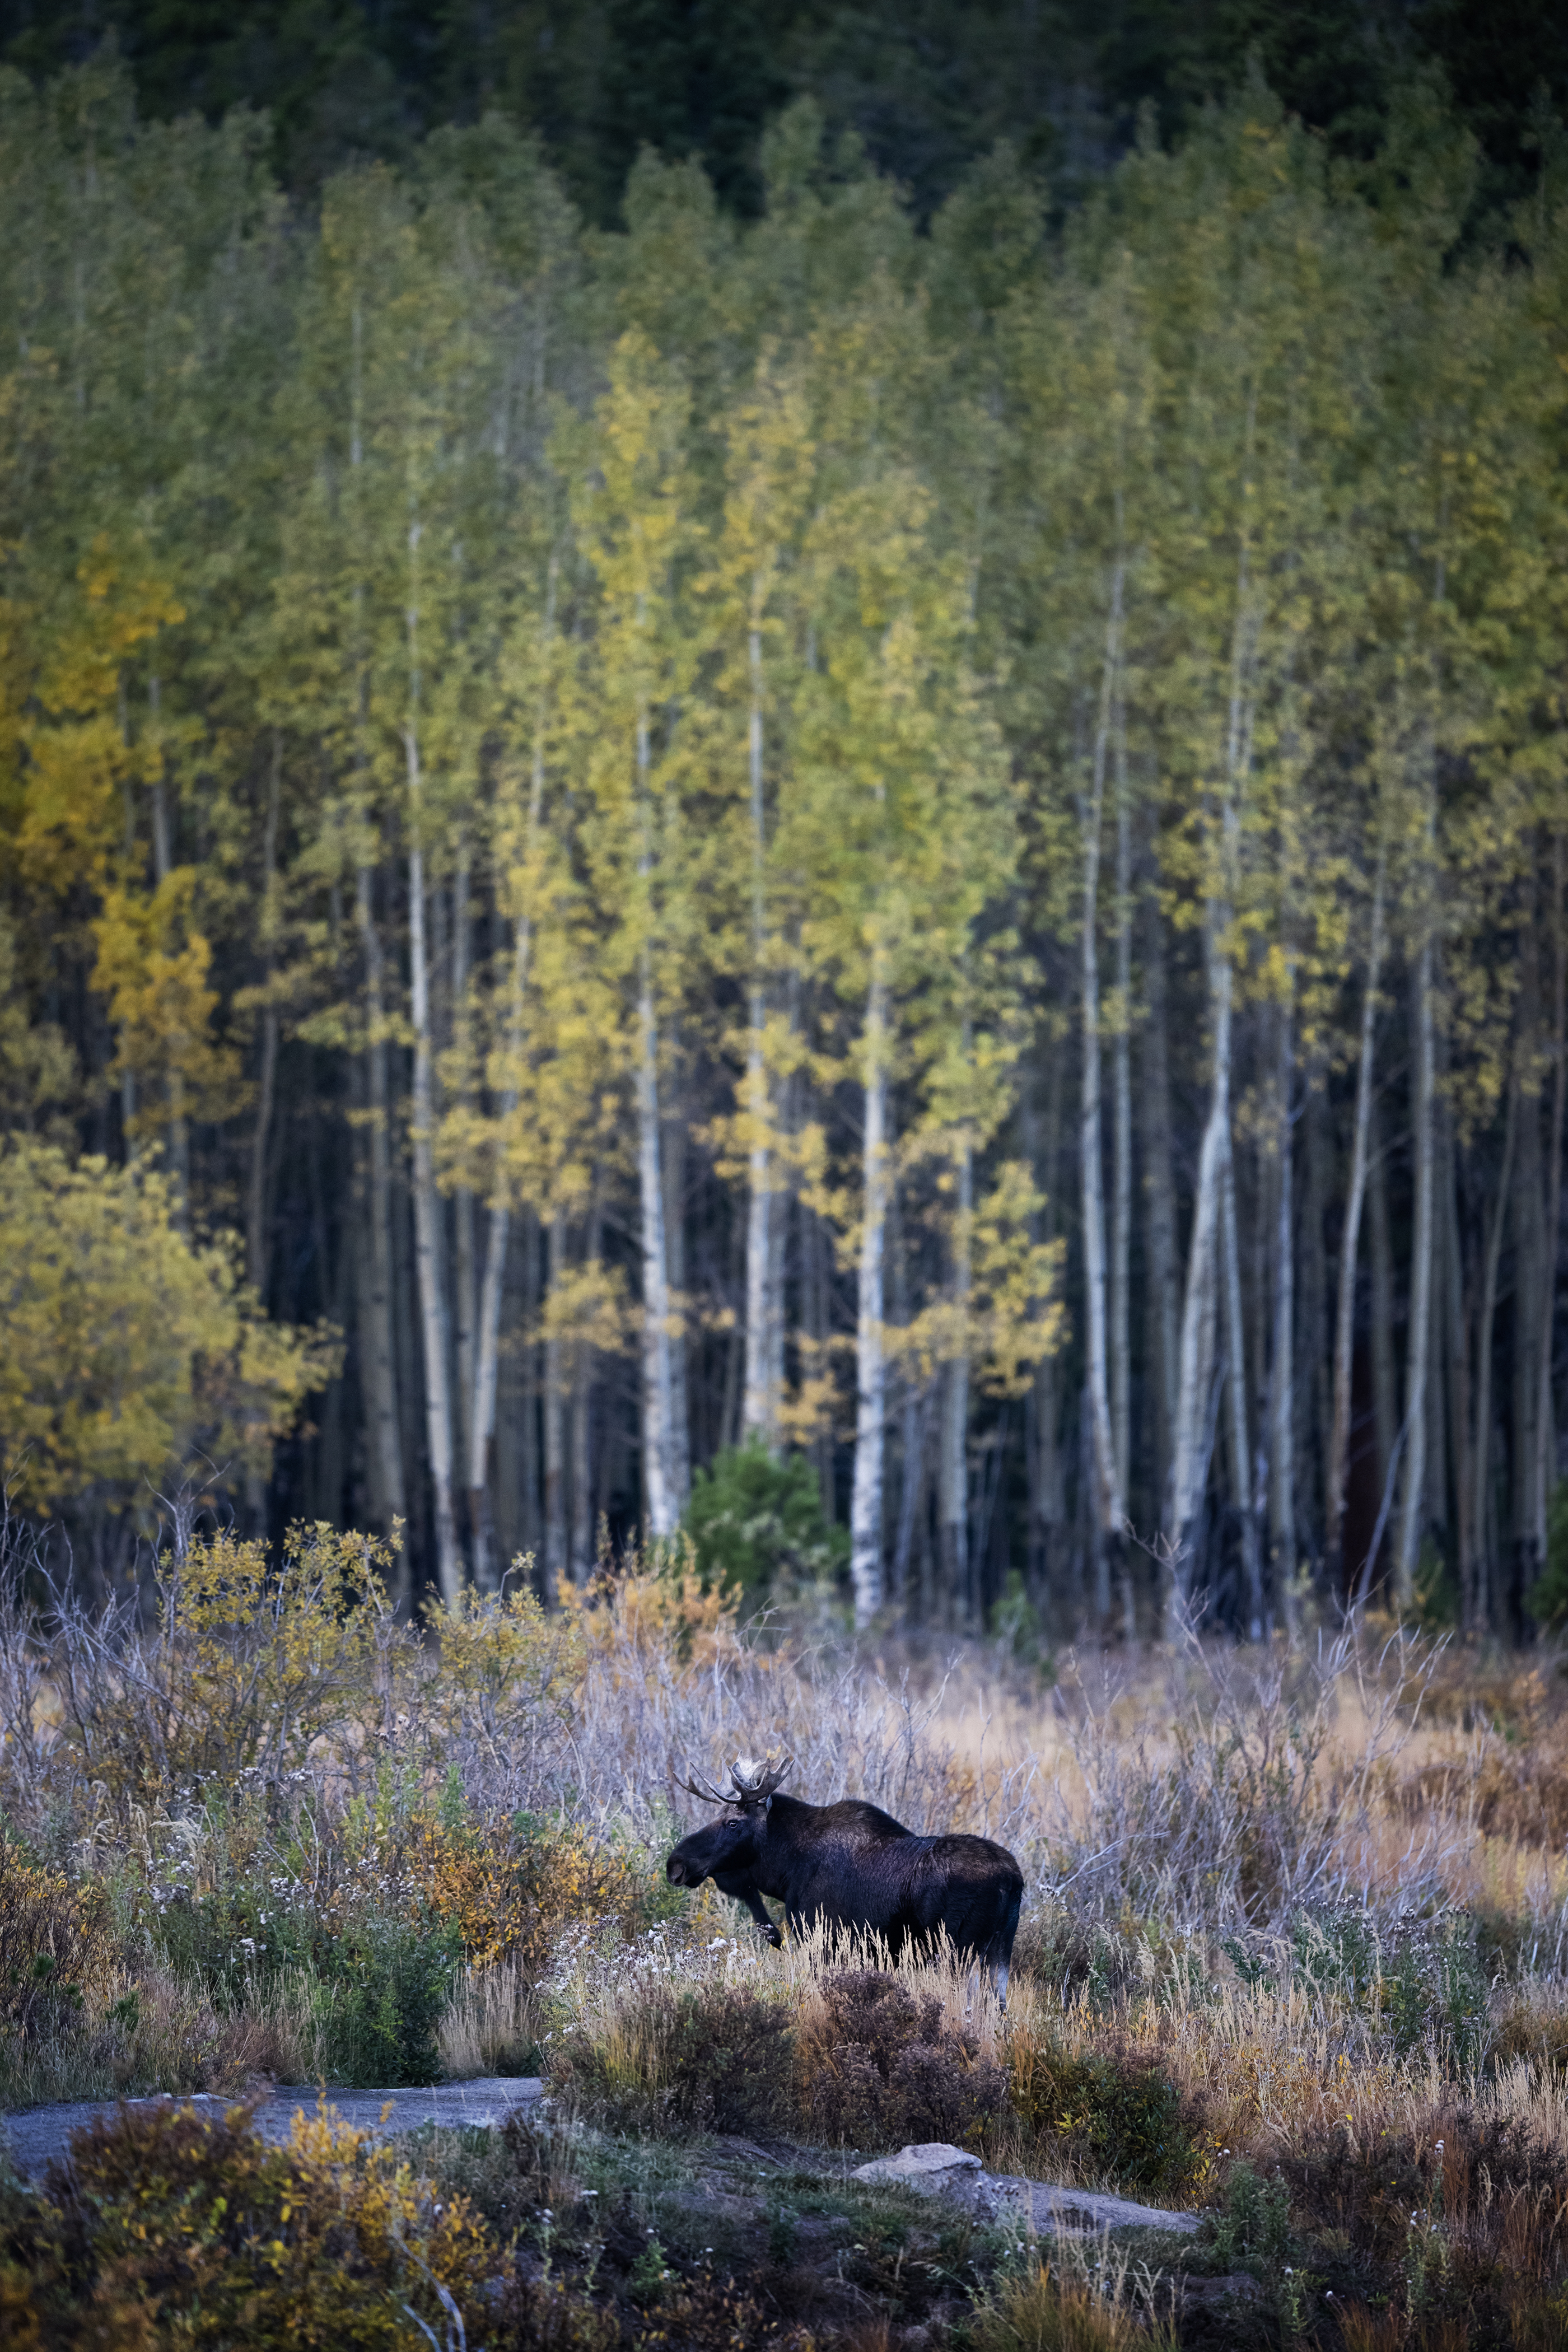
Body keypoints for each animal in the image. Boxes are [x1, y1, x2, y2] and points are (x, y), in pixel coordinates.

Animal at [665, 1755, 1024, 2003]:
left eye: (733, 1823)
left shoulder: (823, 1941)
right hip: (1000, 1950)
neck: (785, 1871)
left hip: (960, 1952)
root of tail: (1012, 1879)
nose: (676, 1864)